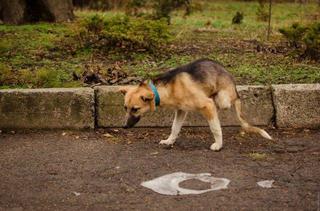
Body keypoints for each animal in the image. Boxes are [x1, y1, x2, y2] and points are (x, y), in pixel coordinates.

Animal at [120, 58, 272, 151]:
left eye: (135, 109)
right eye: (125, 108)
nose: (124, 127)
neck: (165, 89)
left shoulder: (206, 105)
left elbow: (215, 128)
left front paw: (218, 145)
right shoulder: (181, 111)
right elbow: (174, 128)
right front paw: (169, 141)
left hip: (223, 100)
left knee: (227, 104)